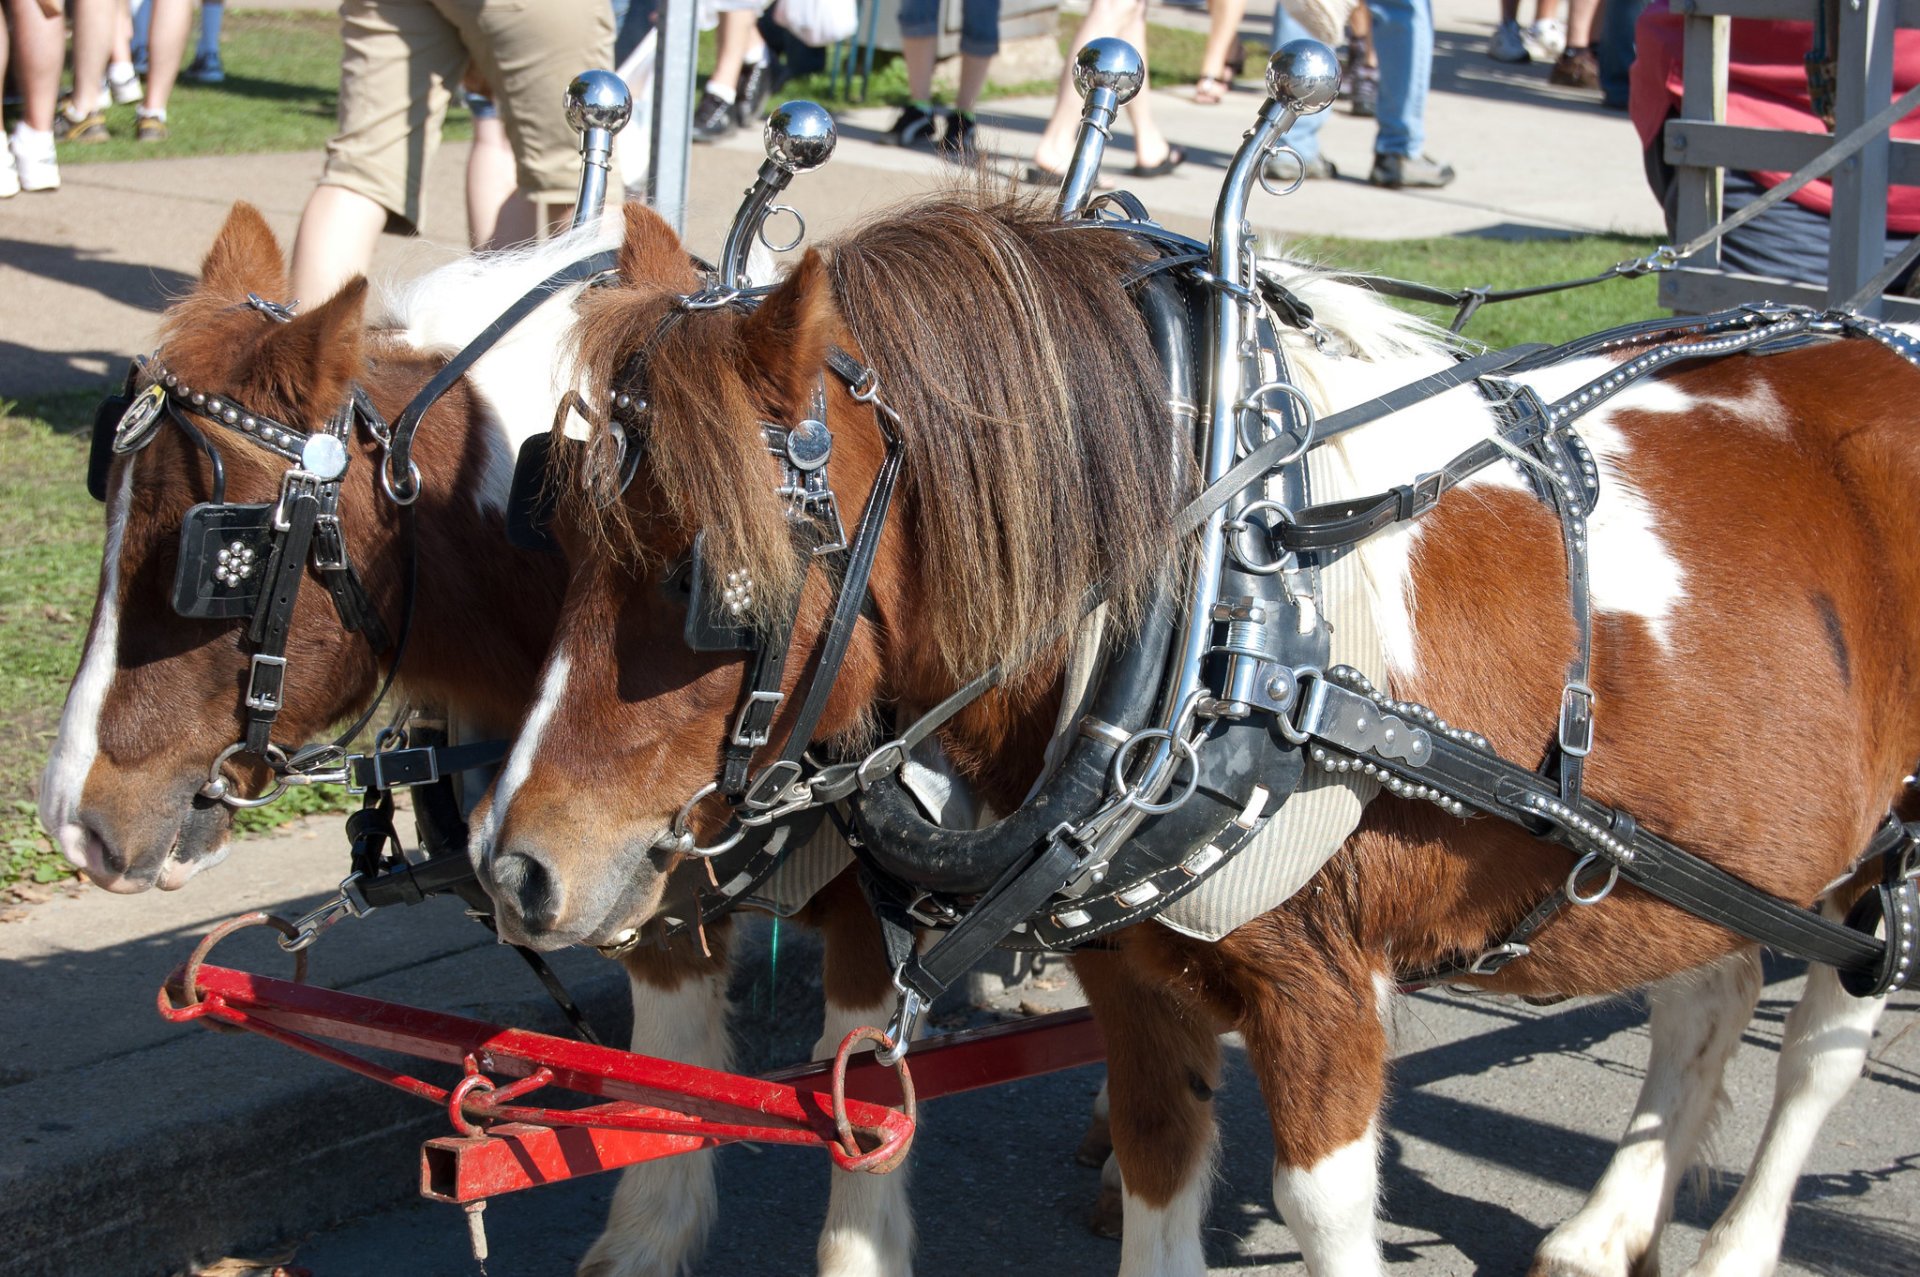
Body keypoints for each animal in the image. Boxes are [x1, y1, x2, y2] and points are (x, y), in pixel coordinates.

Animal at [41, 199, 913, 1275]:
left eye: (221, 558)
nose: (73, 820)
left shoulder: (870, 896)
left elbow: (861, 1103)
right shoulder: (629, 874)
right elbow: (669, 1064)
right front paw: (647, 1237)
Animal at [483, 192, 1920, 1275]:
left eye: (708, 579)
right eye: (555, 523)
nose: (514, 868)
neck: (1225, 610)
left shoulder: (1322, 991)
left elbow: (1323, 1206)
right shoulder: (1138, 975)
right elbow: (1156, 1161)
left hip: (1882, 862)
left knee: (1817, 1052)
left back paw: (1736, 1242)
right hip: (1708, 844)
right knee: (1709, 987)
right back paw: (1609, 1222)